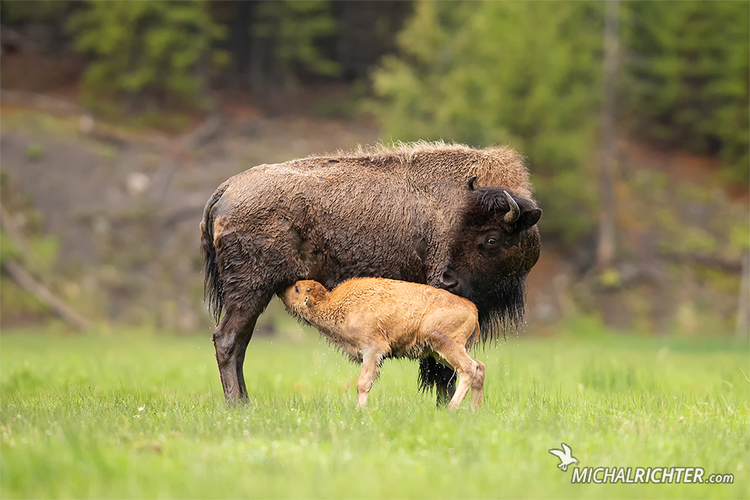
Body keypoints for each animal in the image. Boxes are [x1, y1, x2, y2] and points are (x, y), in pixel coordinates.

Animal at [284, 278, 488, 410]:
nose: (283, 290)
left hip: (447, 345)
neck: (335, 303)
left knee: (469, 369)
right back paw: (473, 411)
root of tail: (472, 309)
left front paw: (360, 411)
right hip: (441, 352)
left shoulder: (372, 351)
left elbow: (363, 383)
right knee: (479, 367)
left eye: (297, 289)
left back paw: (452, 408)